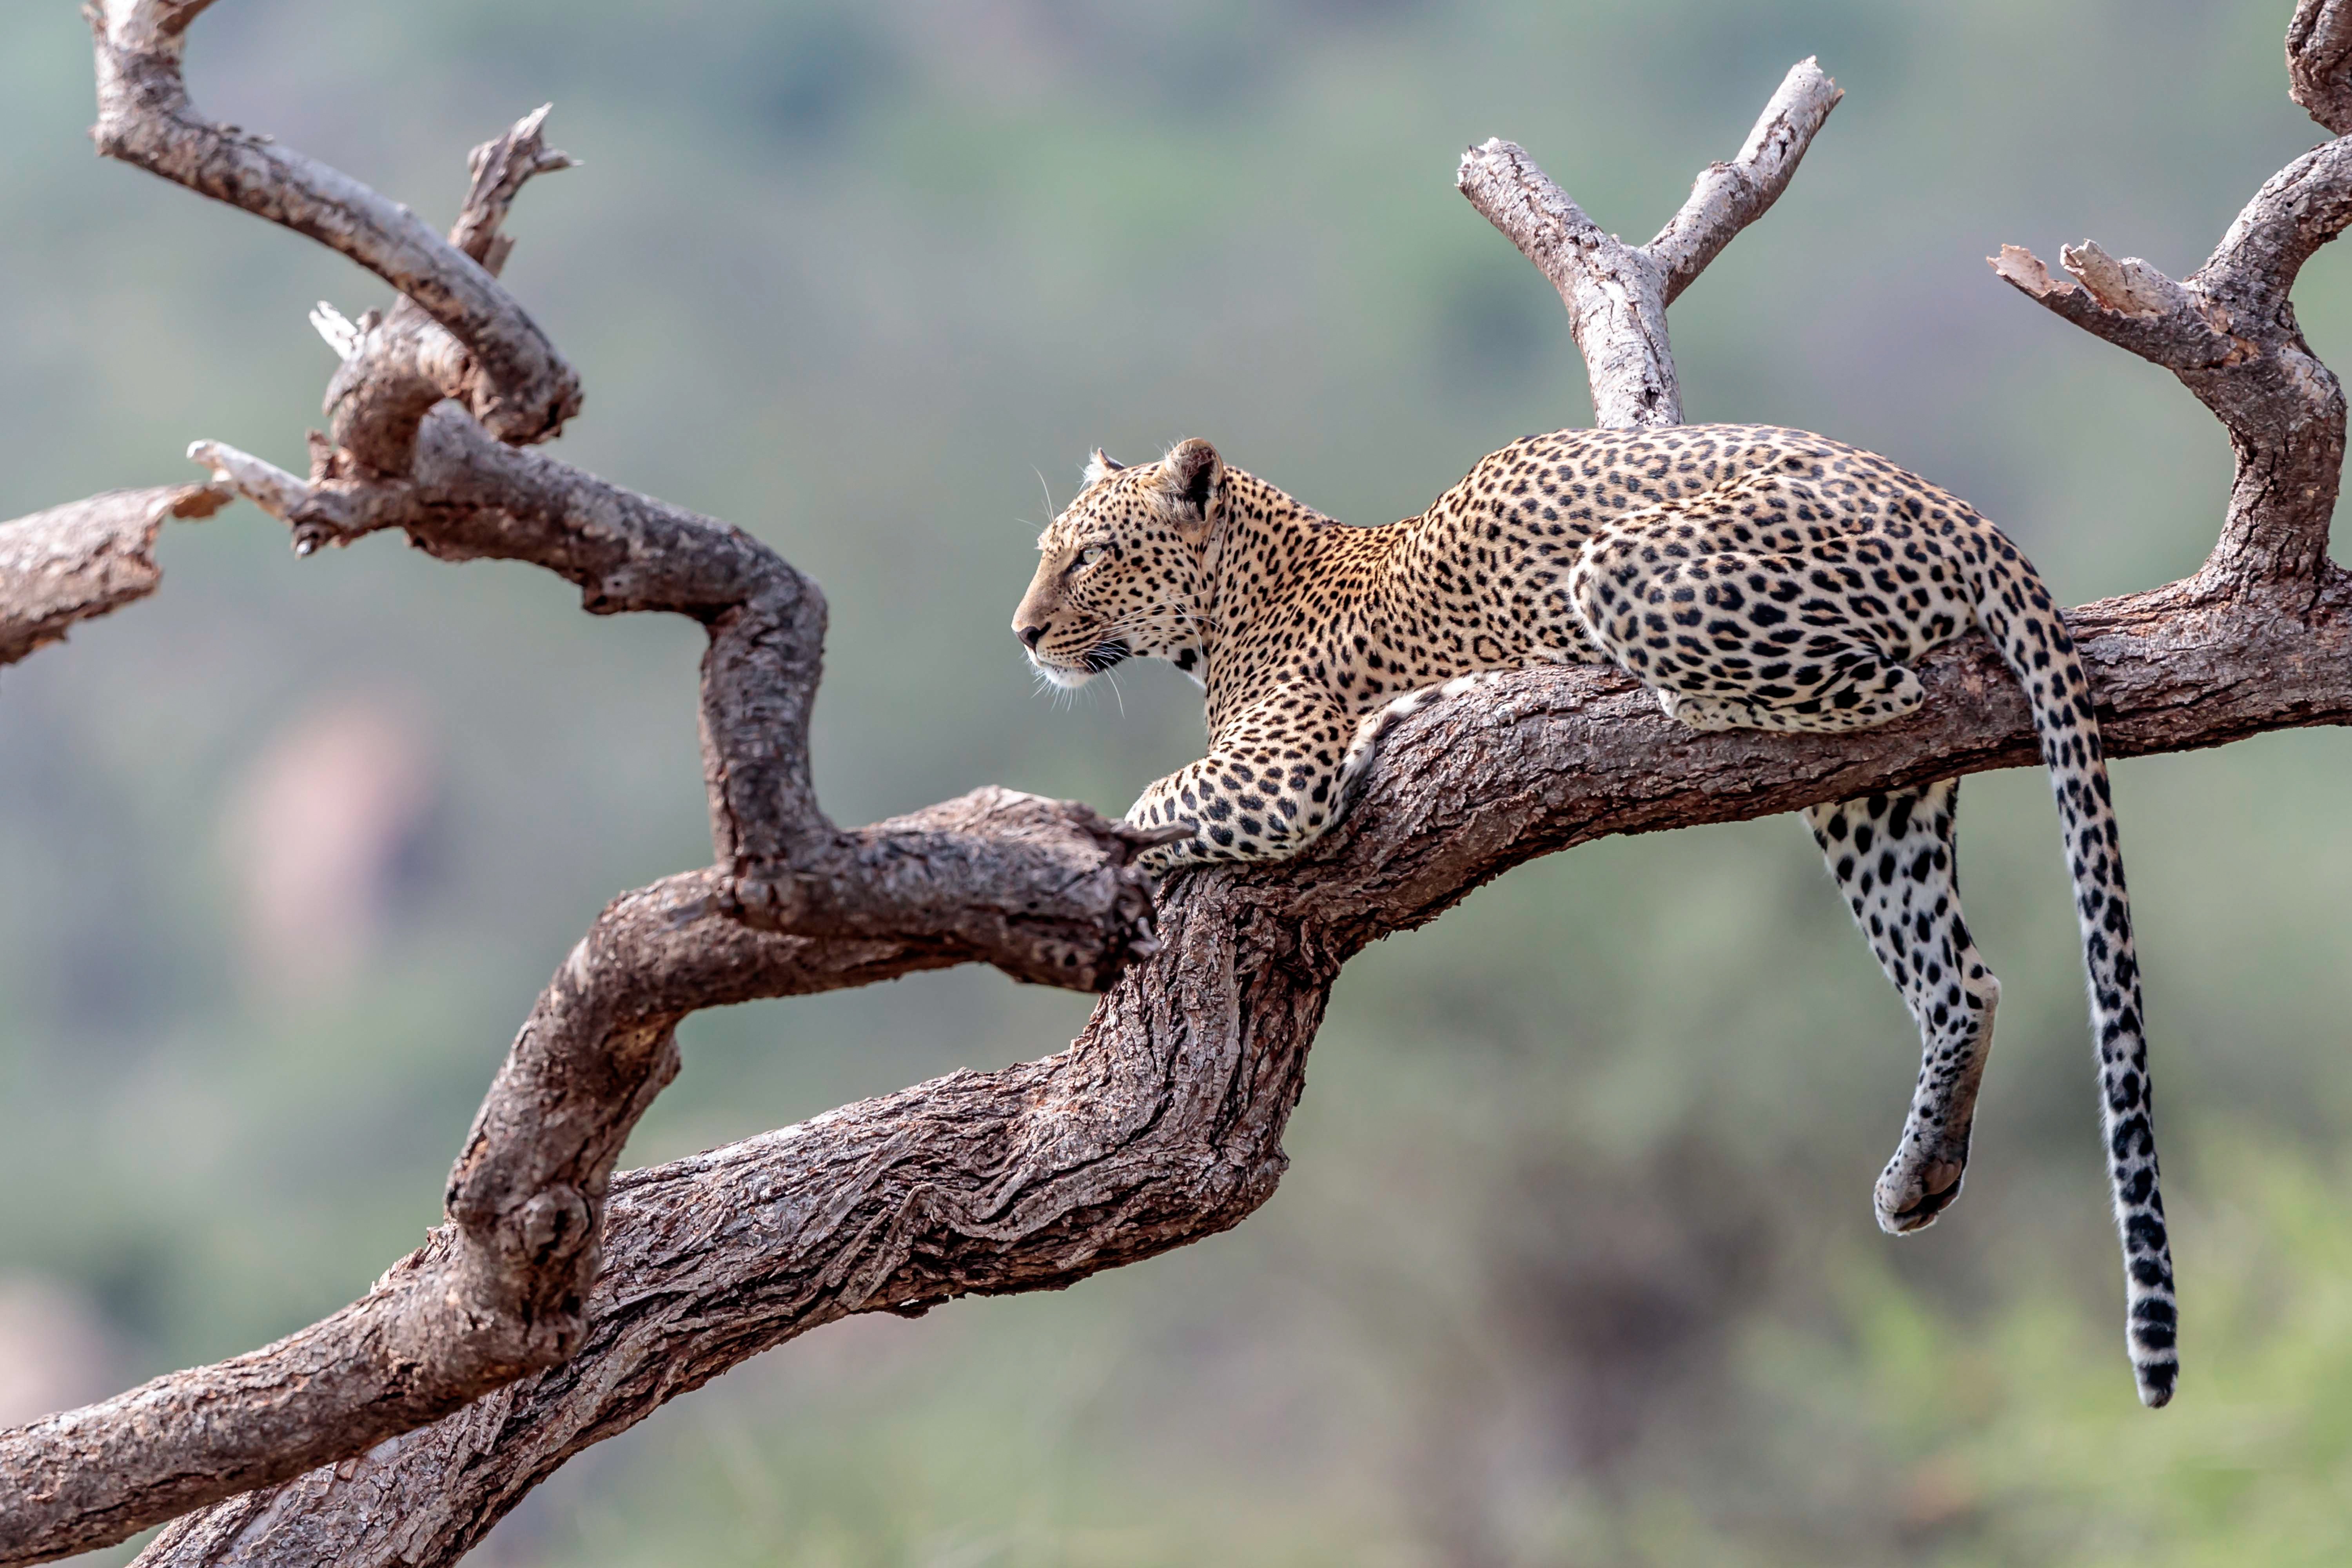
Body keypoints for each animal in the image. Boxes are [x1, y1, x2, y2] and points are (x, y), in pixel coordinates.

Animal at [1011, 424, 2176, 1407]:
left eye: (1090, 556)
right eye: (1047, 552)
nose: (1022, 634)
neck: (1235, 600)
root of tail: (1954, 505)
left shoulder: (1280, 777)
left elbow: (1148, 806)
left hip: (1632, 572)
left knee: (1885, 686)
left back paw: (1652, 697)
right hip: (1878, 806)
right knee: (1960, 975)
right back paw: (1921, 1173)